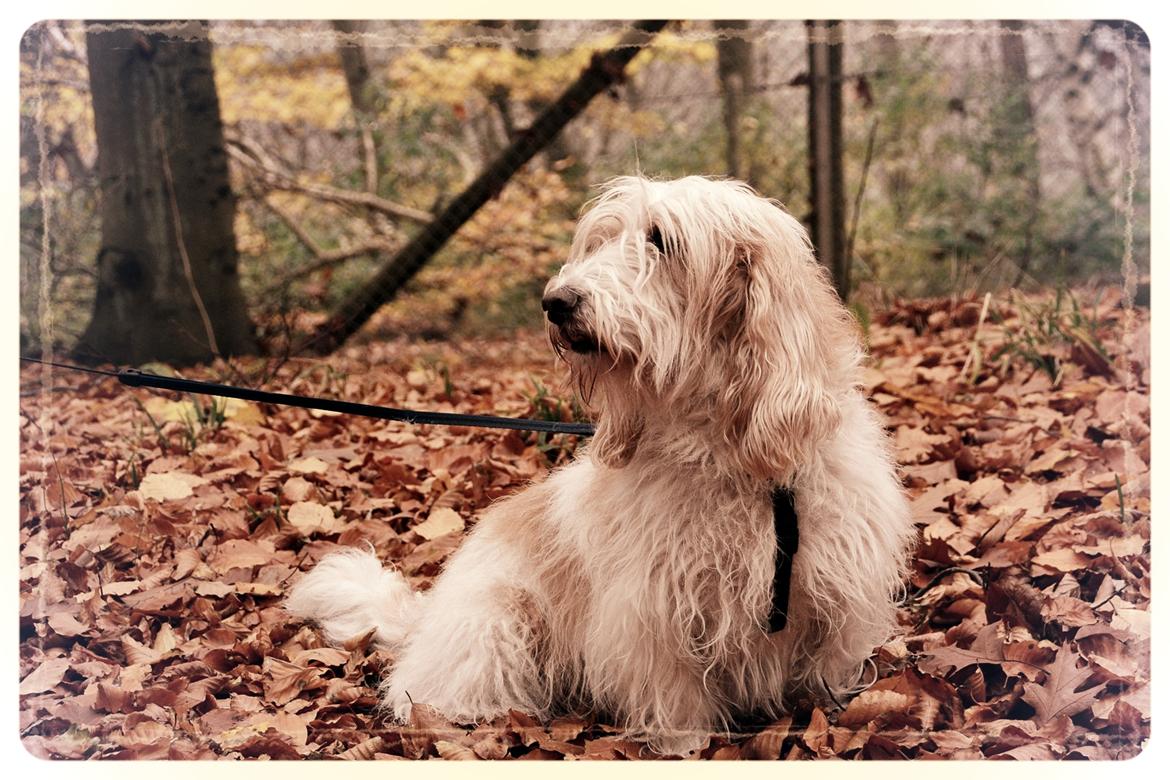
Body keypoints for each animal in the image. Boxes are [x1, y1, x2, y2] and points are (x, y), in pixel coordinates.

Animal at [287, 178, 917, 757]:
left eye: (661, 240)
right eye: (599, 241)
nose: (556, 301)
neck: (735, 460)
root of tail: (428, 619)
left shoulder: (836, 601)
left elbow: (823, 679)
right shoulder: (652, 612)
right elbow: (677, 702)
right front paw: (687, 748)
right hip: (499, 621)